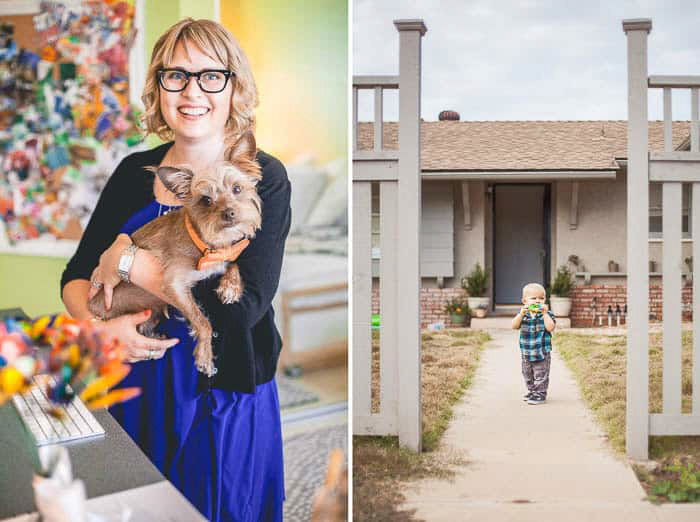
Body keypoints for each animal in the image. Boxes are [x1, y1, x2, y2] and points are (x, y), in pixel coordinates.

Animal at [87, 152, 262, 376]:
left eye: (237, 189)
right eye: (206, 200)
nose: (229, 213)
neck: (205, 244)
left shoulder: (221, 259)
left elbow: (233, 264)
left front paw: (230, 287)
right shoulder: (175, 284)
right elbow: (202, 321)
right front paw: (204, 356)